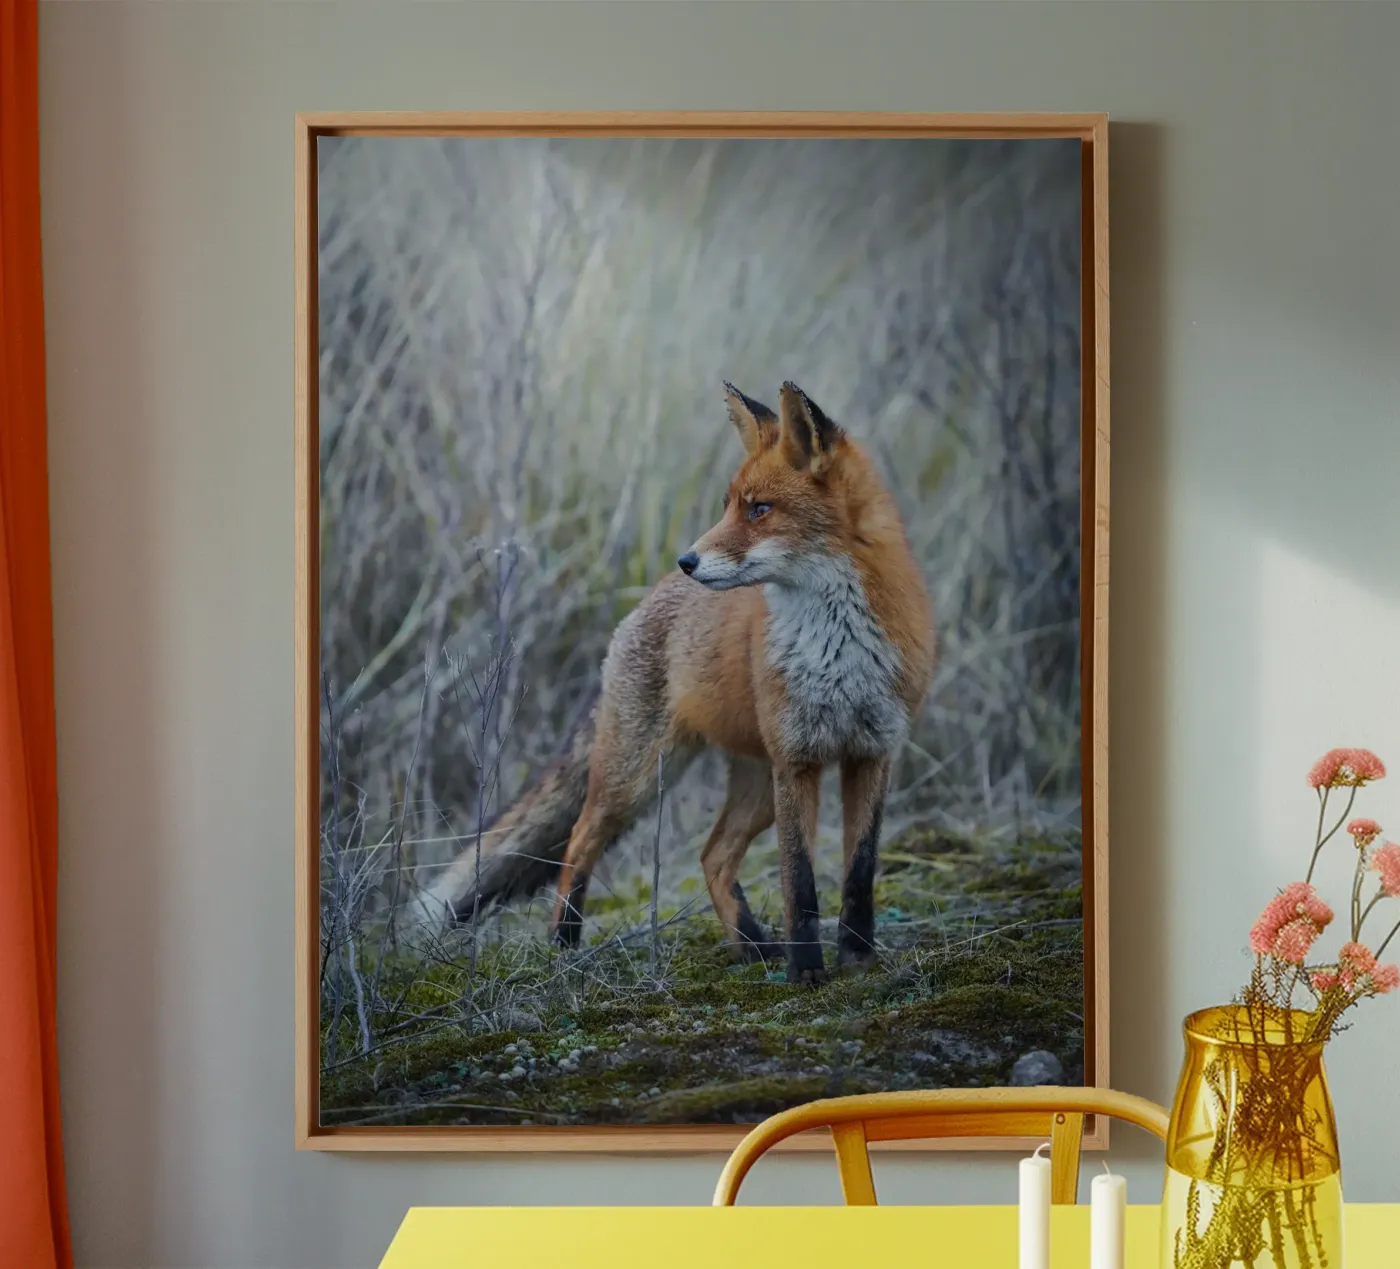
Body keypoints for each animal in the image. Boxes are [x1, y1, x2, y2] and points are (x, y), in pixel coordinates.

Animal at [414, 381, 936, 983]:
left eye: (760, 509)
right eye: (730, 505)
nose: (688, 559)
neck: (837, 648)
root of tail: (646, 600)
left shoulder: (872, 752)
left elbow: (859, 872)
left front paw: (858, 958)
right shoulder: (798, 760)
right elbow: (800, 884)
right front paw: (807, 972)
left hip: (756, 787)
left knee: (713, 856)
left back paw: (752, 946)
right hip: (639, 778)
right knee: (579, 841)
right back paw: (564, 944)